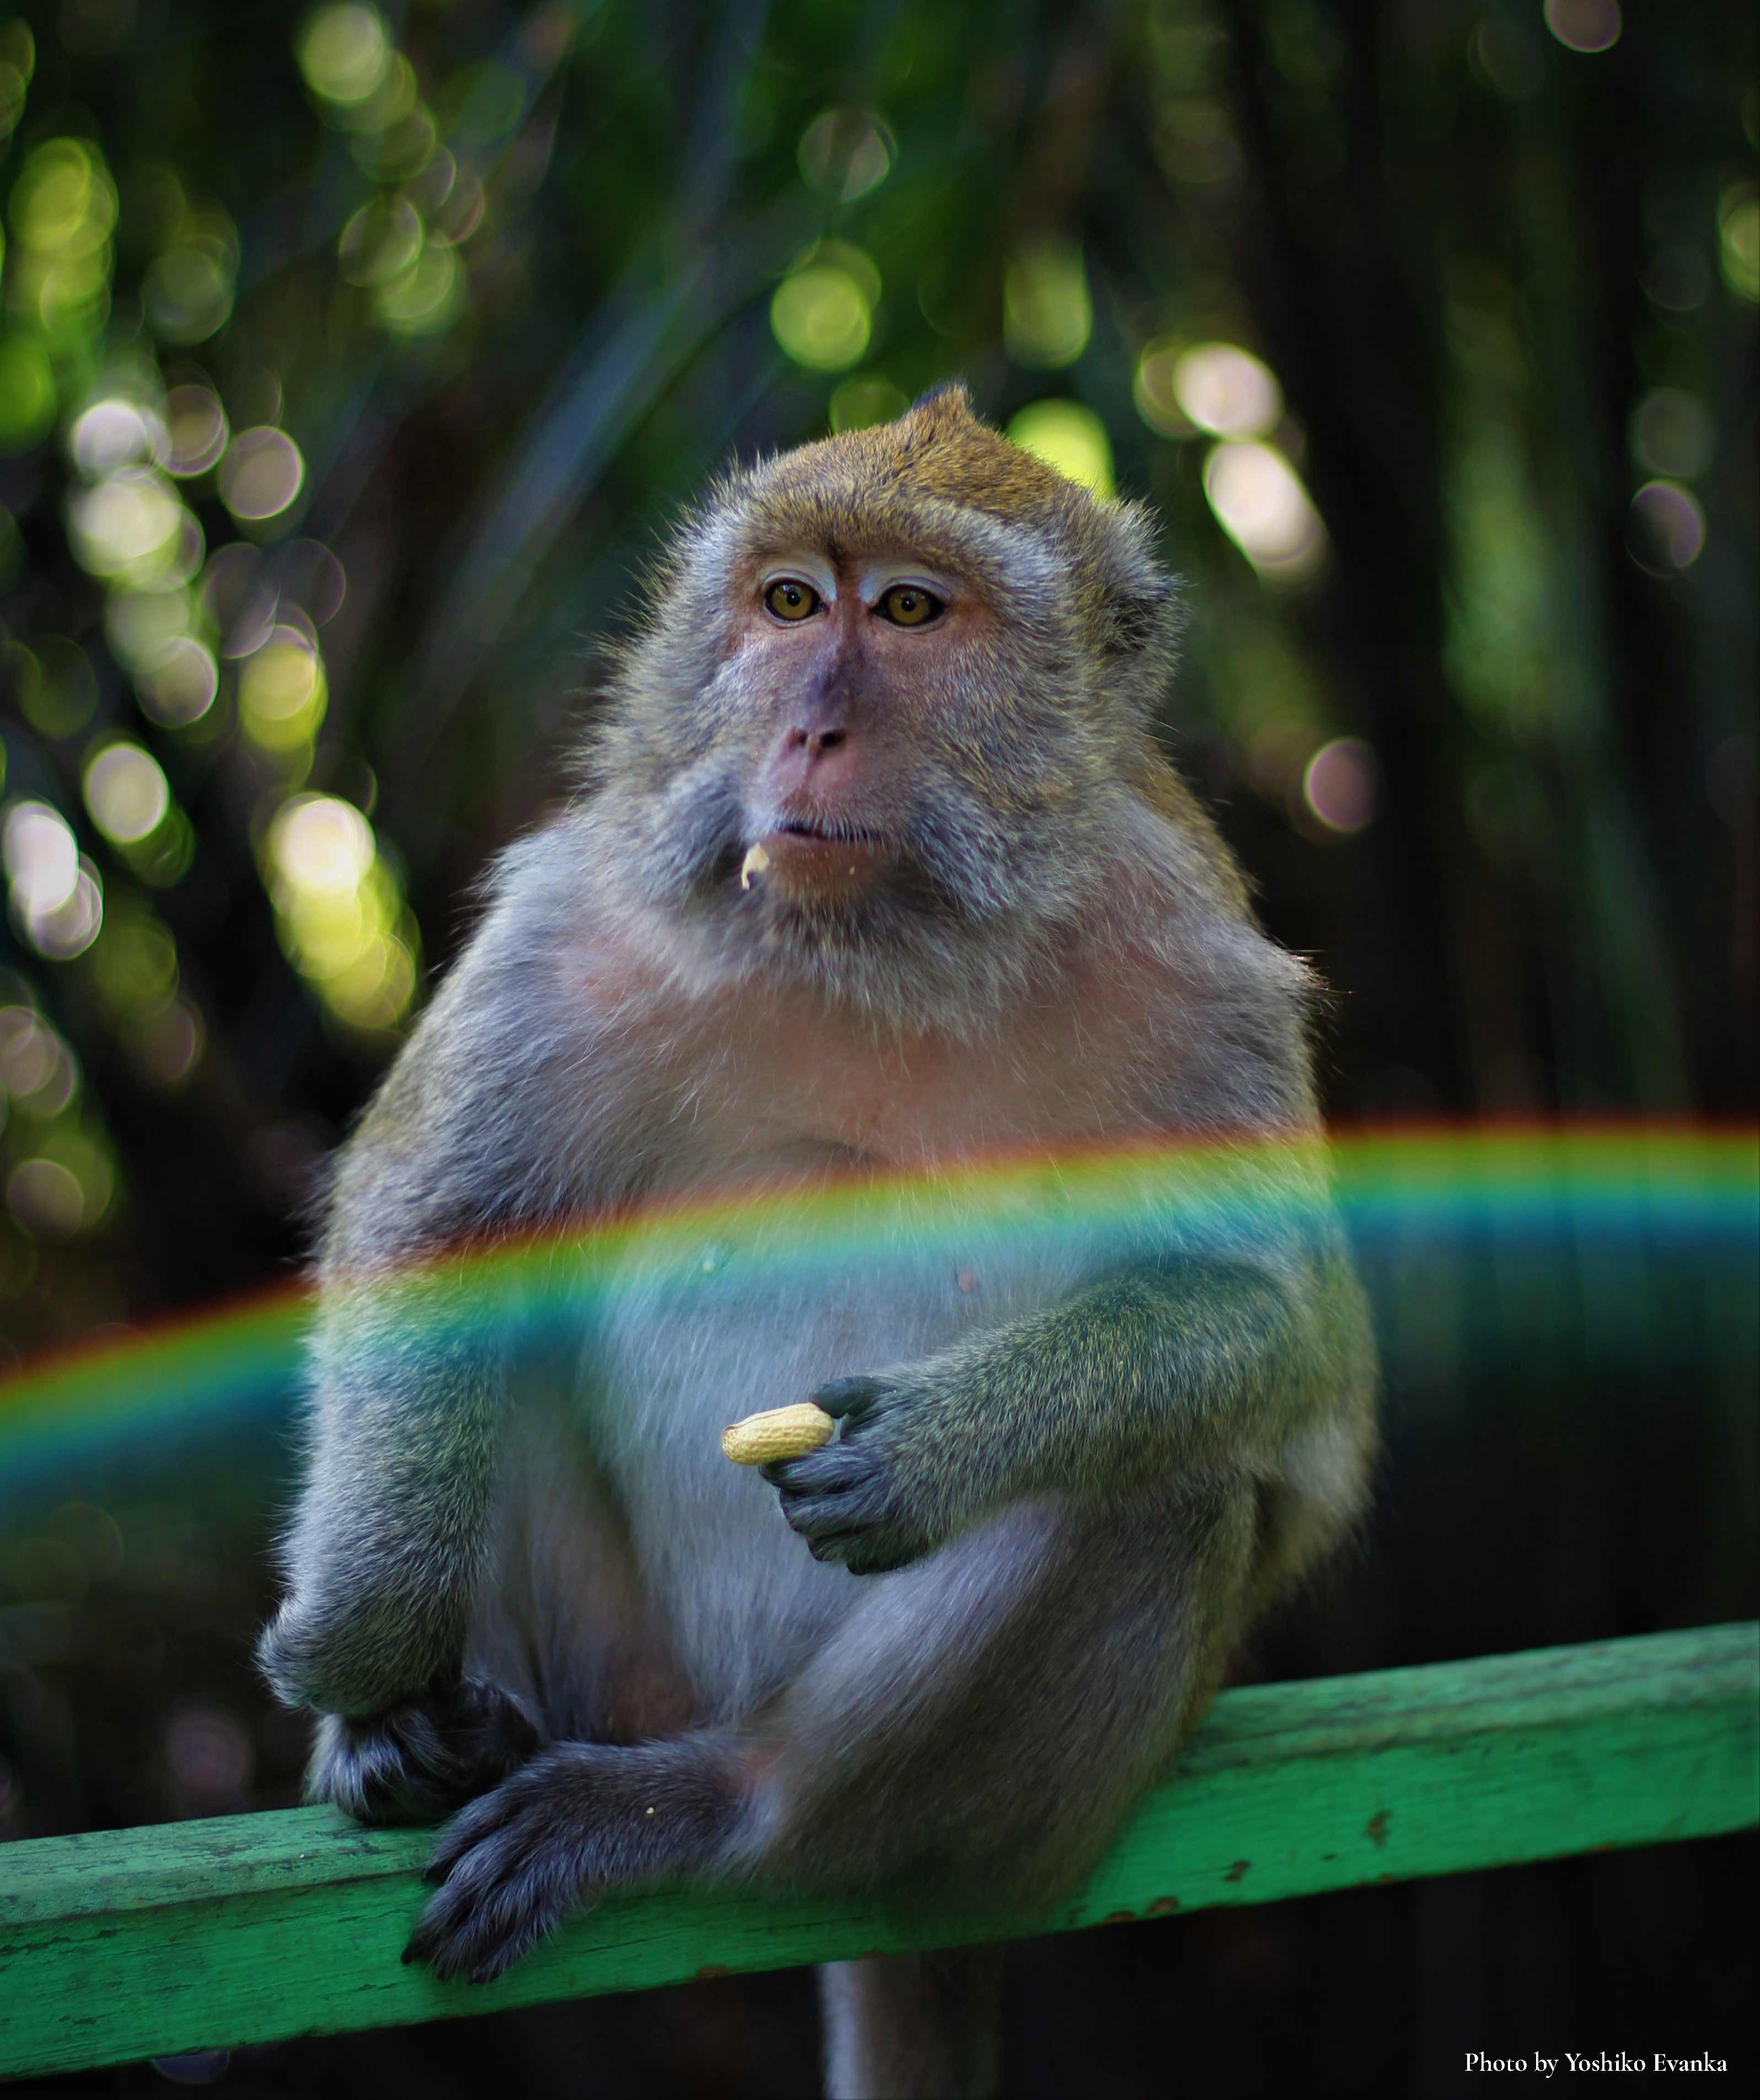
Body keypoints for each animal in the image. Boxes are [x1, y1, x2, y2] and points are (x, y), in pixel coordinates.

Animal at [258, 382, 1377, 2100]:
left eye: (910, 613)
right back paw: (421, 1732)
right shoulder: (578, 913)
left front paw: (936, 1440)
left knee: (1161, 1491)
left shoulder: (1194, 965)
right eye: (788, 603)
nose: (809, 728)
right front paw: (367, 1652)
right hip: (614, 1660)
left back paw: (719, 1810)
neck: (877, 946)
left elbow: (1281, 1332)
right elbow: (441, 1224)